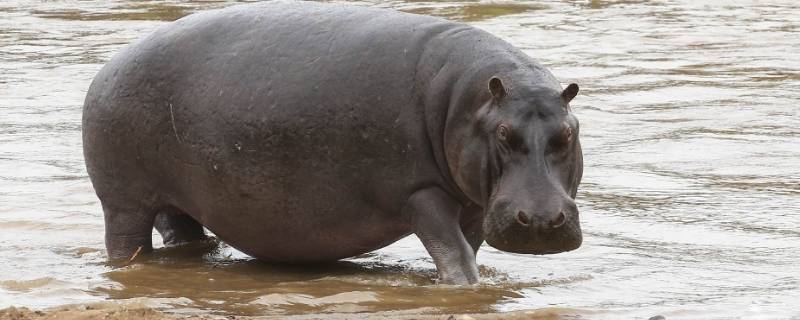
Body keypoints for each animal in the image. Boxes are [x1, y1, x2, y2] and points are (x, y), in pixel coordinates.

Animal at [83, 0, 580, 284]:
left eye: (569, 132)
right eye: (503, 133)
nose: (541, 220)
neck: (470, 102)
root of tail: (110, 64)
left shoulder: (475, 203)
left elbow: (467, 248)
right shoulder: (420, 192)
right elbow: (454, 253)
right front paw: (461, 288)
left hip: (178, 201)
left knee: (183, 234)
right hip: (123, 201)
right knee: (124, 242)